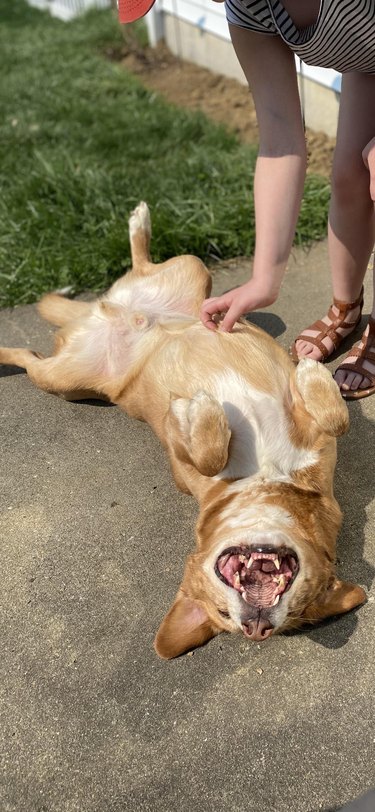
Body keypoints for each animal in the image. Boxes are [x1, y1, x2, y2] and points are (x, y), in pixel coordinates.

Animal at [0, 203, 364, 660]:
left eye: (297, 615)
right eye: (222, 614)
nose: (255, 628)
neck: (270, 475)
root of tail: (100, 312)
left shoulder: (317, 445)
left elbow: (337, 419)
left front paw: (310, 377)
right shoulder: (177, 449)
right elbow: (214, 452)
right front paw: (211, 408)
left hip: (88, 353)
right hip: (70, 371)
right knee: (29, 350)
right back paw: (139, 225)